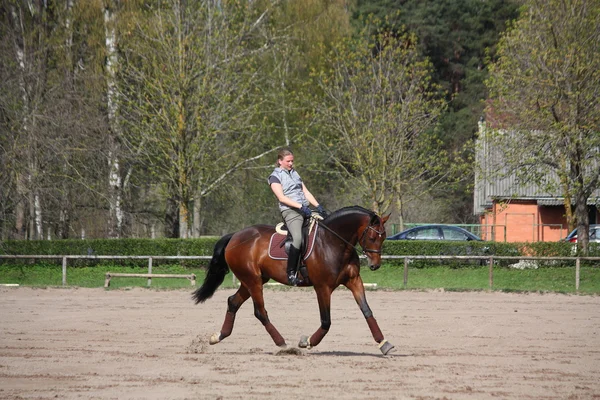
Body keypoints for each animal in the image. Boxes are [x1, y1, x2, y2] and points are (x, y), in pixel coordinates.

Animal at [192, 205, 396, 354]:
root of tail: (235, 235)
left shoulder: (354, 281)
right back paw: (282, 344)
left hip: (253, 280)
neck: (333, 242)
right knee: (260, 312)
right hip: (253, 281)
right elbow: (326, 321)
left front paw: (383, 343)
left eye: (384, 237)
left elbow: (367, 311)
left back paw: (218, 336)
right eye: (372, 237)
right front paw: (307, 342)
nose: (375, 265)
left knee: (233, 302)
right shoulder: (322, 287)